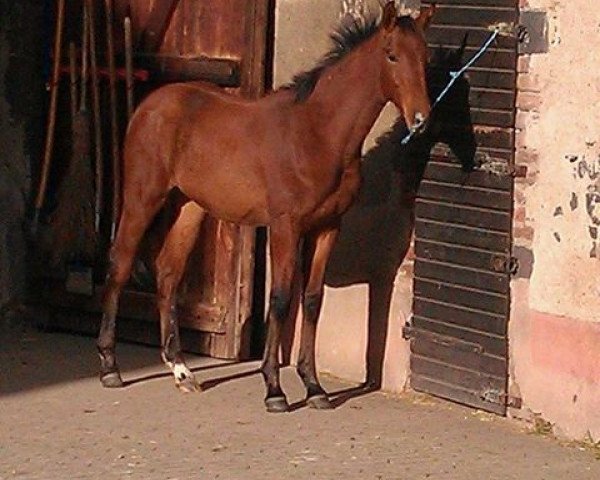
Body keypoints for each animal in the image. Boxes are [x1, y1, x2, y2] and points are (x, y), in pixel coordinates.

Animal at [98, 0, 436, 412]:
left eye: (425, 57)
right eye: (391, 55)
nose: (420, 120)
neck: (317, 133)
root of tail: (150, 105)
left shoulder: (327, 227)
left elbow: (312, 300)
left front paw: (315, 388)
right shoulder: (285, 226)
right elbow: (280, 299)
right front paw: (275, 389)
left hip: (189, 207)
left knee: (168, 273)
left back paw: (181, 371)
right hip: (143, 197)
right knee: (120, 263)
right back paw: (110, 367)